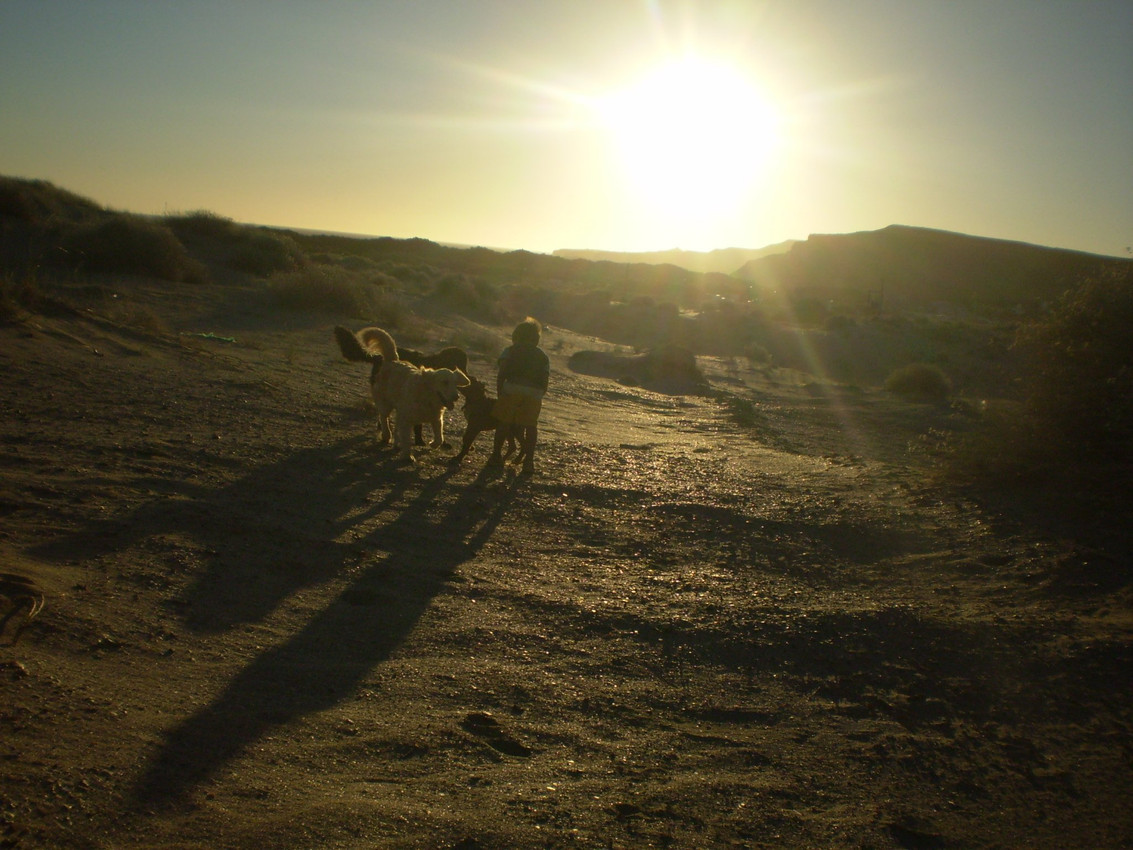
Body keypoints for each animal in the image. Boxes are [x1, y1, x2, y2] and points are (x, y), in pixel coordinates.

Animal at [340, 327, 469, 462]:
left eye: (455, 384)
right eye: (444, 382)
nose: (456, 397)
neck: (427, 397)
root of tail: (392, 360)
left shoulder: (436, 419)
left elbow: (439, 437)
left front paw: (433, 444)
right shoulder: (407, 419)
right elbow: (407, 438)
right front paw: (407, 455)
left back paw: (395, 442)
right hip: (385, 403)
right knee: (383, 417)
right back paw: (386, 435)